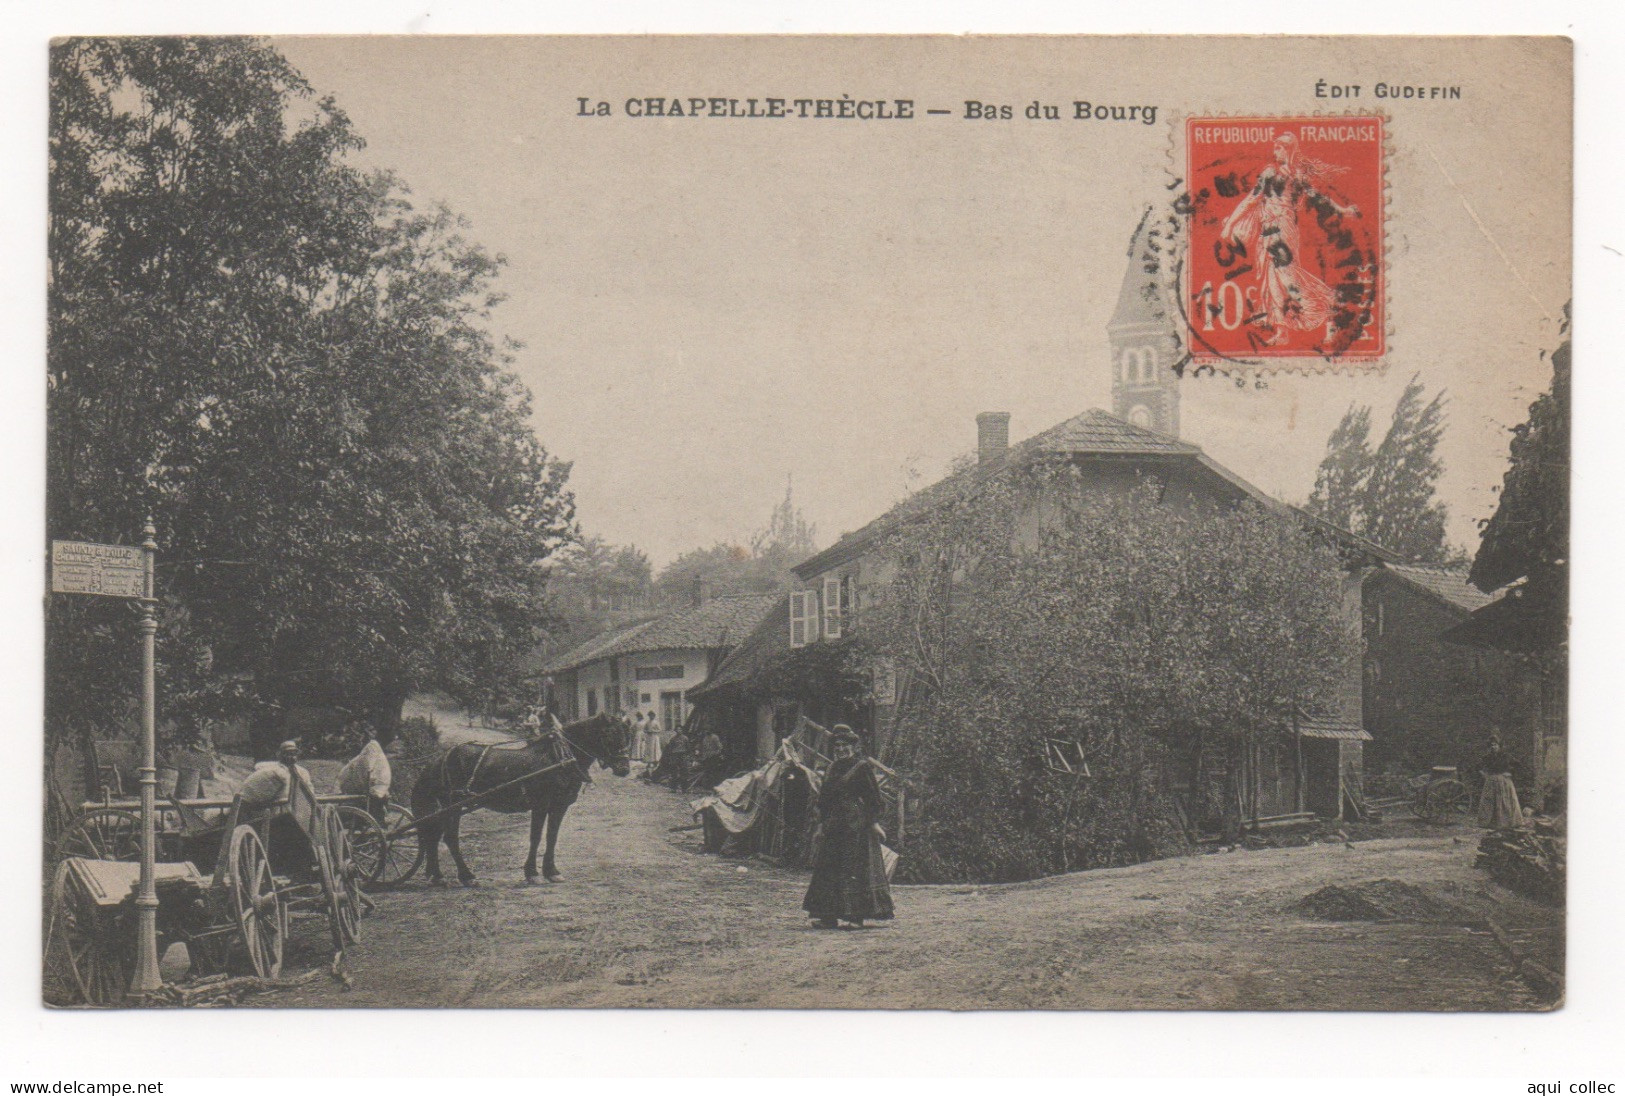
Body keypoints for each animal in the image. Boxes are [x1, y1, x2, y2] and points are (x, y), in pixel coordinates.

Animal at [409, 712, 630, 884]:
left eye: (626, 734)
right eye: (608, 734)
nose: (624, 769)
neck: (559, 758)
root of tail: (439, 758)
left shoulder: (560, 806)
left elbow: (552, 836)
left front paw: (552, 871)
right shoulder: (541, 805)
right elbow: (536, 837)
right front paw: (532, 873)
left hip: (445, 806)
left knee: (433, 836)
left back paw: (437, 876)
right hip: (453, 804)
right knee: (450, 838)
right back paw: (466, 876)